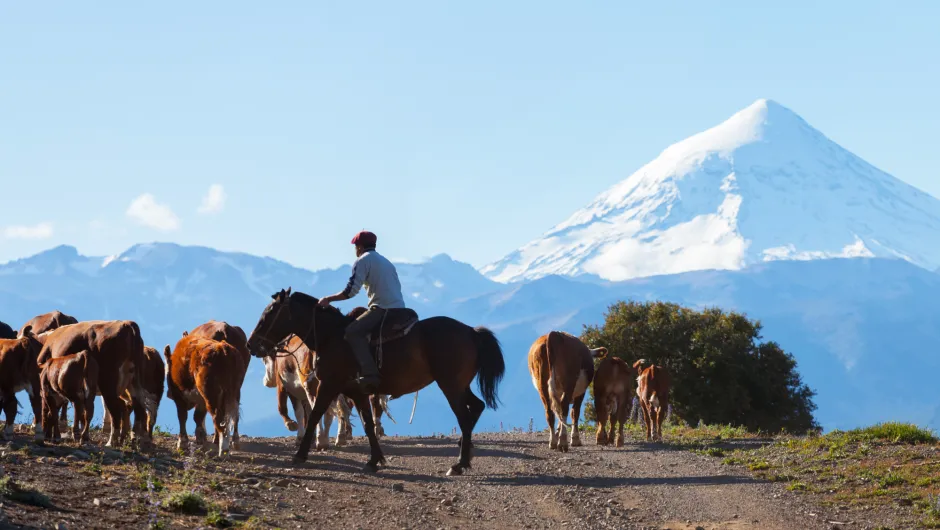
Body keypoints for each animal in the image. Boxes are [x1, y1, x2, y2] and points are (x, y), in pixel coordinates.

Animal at [36, 318, 149, 446]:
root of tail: (127, 324)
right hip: (134, 382)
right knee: (138, 407)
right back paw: (135, 439)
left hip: (108, 383)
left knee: (116, 409)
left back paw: (111, 442)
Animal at [246, 286, 504, 472]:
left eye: (269, 313)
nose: (251, 344)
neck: (332, 336)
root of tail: (471, 332)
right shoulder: (357, 392)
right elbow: (368, 424)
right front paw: (375, 460)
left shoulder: (328, 385)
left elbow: (316, 415)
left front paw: (300, 454)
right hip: (460, 385)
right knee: (477, 406)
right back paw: (465, 451)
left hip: (450, 385)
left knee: (464, 418)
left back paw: (459, 464)